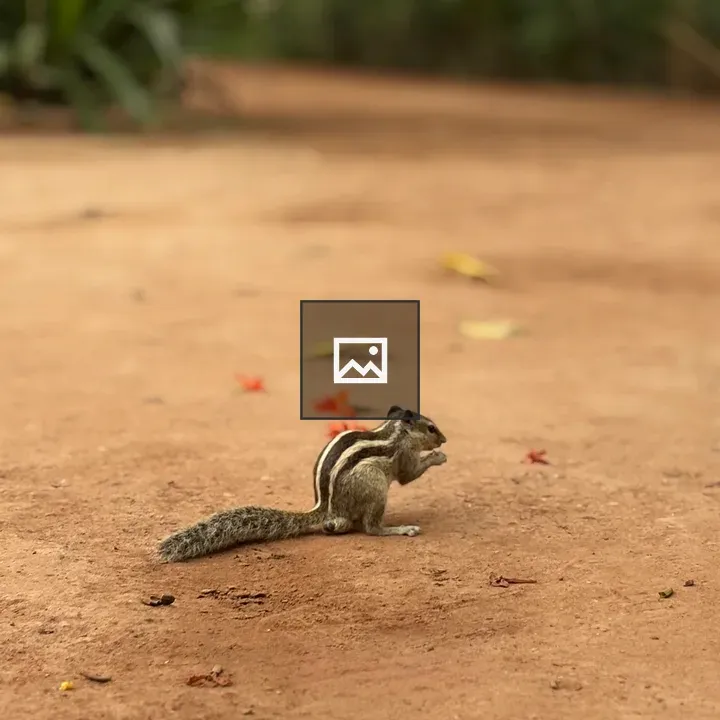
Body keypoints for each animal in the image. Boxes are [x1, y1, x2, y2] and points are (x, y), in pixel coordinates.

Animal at [157, 405, 447, 562]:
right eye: (431, 428)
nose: (444, 439)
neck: (393, 431)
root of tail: (326, 507)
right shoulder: (404, 454)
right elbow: (408, 475)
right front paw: (437, 456)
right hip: (374, 487)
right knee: (372, 528)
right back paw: (400, 529)